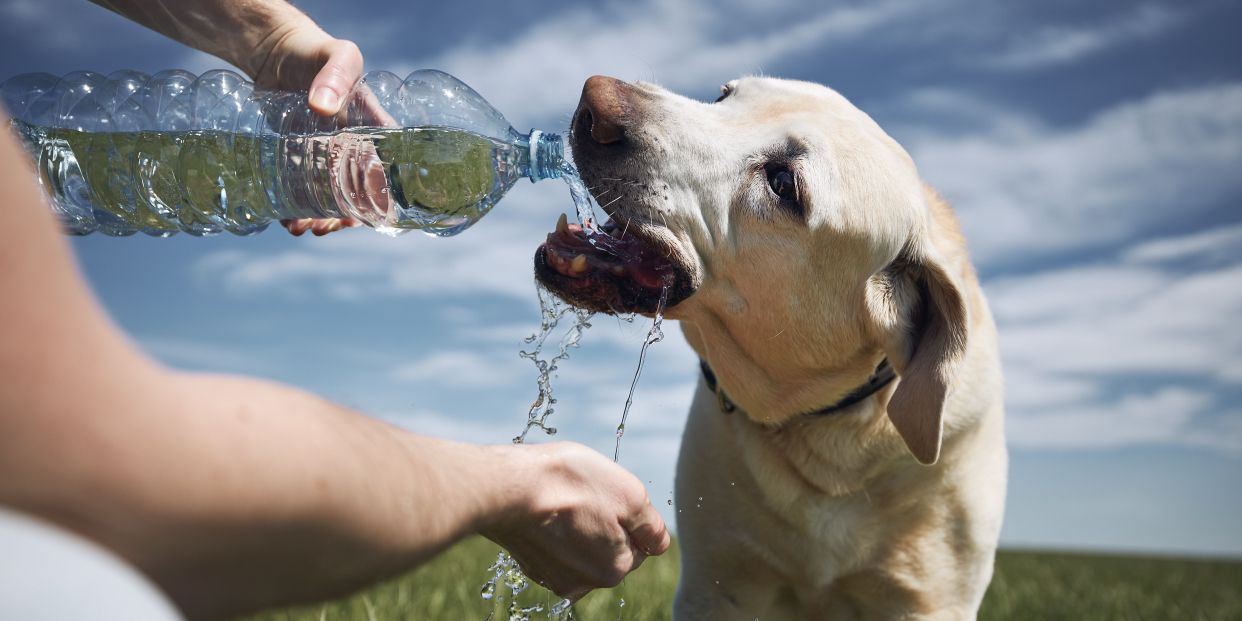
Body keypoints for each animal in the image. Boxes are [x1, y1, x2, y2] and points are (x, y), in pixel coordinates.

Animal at [536, 75, 1008, 618]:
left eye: (783, 184)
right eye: (724, 96)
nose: (594, 99)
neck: (831, 444)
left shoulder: (932, 599)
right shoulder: (715, 584)